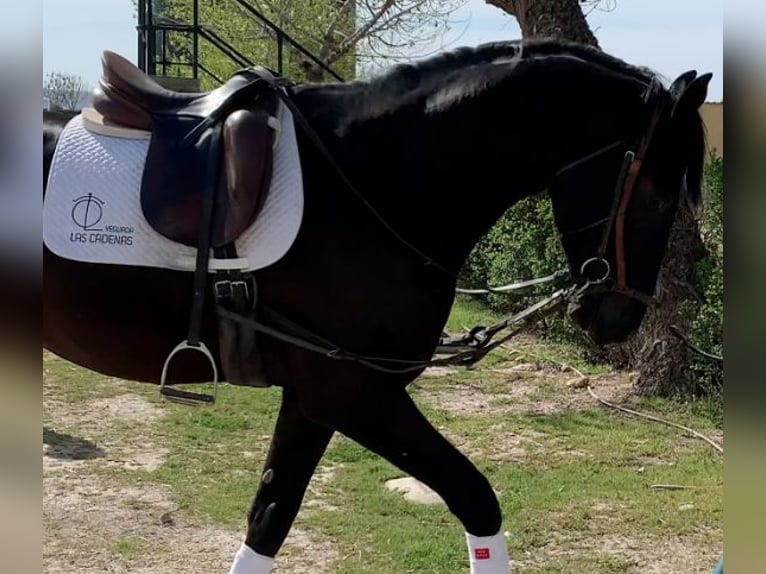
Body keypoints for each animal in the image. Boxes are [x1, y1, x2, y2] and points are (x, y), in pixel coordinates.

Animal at [42, 38, 710, 573]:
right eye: (656, 195)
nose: (620, 318)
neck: (375, 181)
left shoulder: (313, 399)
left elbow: (270, 516)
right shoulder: (356, 393)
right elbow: (476, 498)